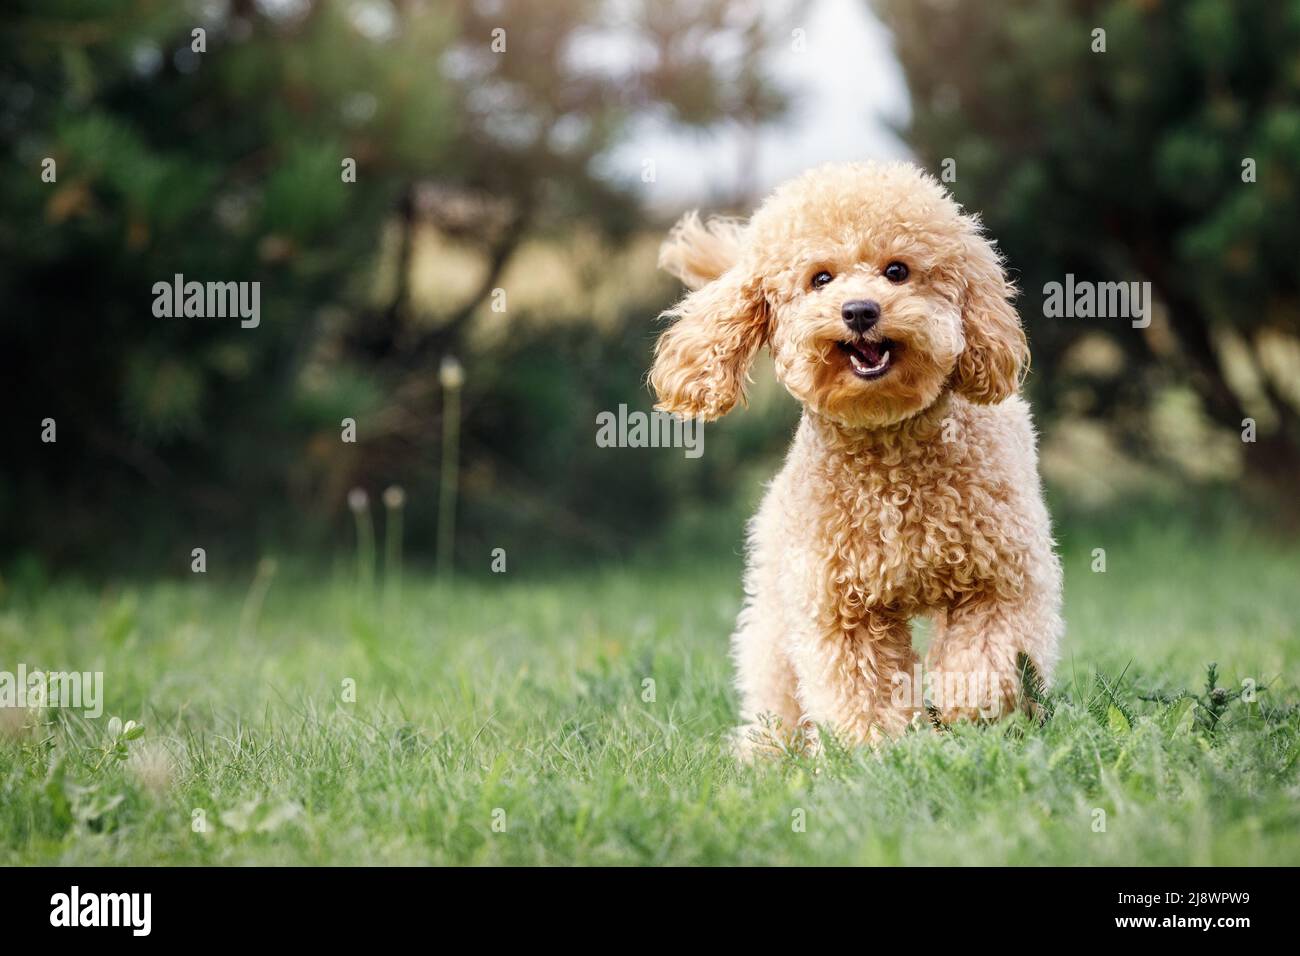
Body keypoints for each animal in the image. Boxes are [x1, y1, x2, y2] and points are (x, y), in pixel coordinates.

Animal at [644, 160, 1060, 754]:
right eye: (820, 278)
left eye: (897, 271)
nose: (860, 310)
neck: (887, 448)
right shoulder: (839, 606)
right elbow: (860, 687)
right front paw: (874, 751)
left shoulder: (1000, 576)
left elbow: (988, 653)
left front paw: (968, 710)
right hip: (776, 600)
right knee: (774, 683)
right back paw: (765, 752)